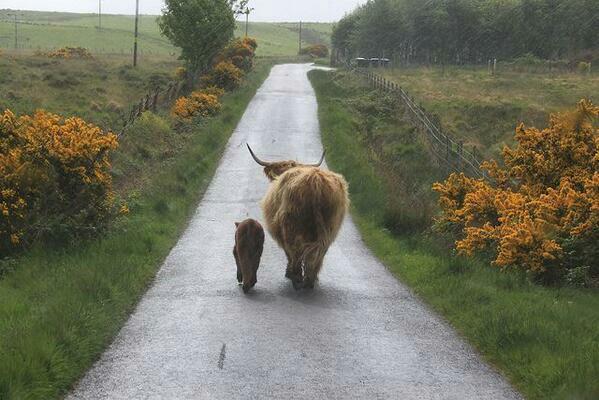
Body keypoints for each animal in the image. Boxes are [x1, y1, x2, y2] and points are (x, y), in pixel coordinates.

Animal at [246, 145, 350, 290]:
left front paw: (290, 273)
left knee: (295, 251)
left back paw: (296, 277)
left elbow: (288, 253)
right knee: (319, 253)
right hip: (330, 228)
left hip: (291, 226)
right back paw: (310, 279)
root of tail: (315, 181)